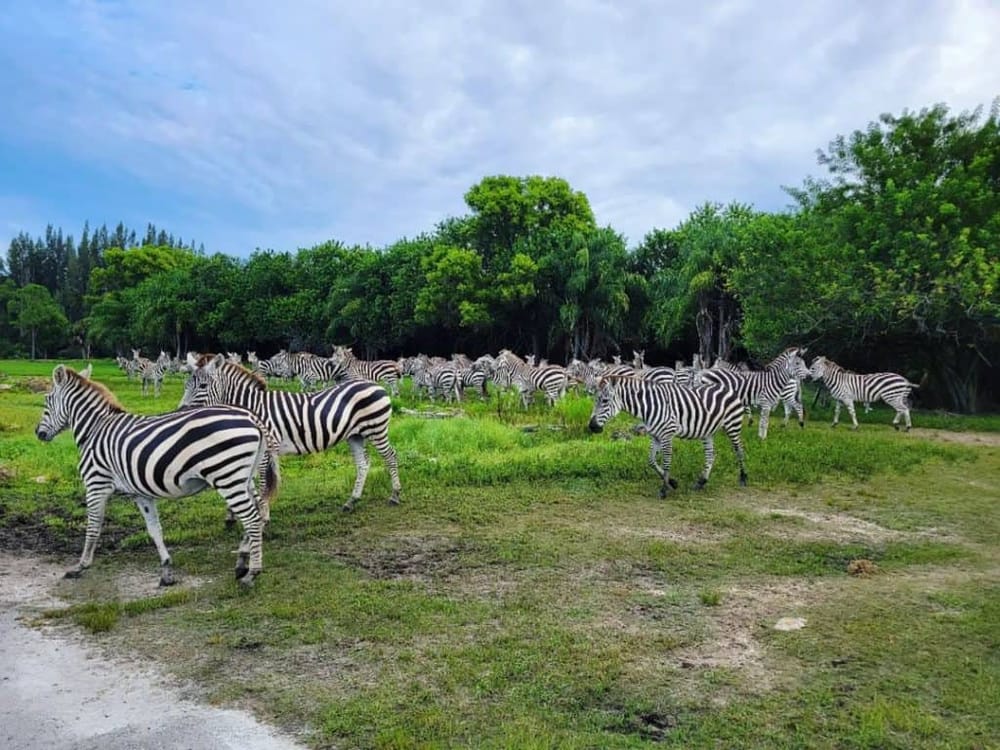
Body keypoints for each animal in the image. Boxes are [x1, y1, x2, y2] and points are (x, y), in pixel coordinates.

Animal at [35, 364, 279, 586]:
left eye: (47, 401)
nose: (38, 433)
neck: (95, 429)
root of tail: (252, 418)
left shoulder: (96, 483)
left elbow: (93, 525)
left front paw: (81, 565)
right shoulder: (140, 493)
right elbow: (154, 530)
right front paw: (166, 570)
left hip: (228, 477)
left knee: (252, 518)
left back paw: (252, 573)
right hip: (243, 477)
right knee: (258, 510)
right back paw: (242, 561)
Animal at [180, 352, 402, 512]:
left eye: (203, 385)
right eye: (186, 385)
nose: (181, 410)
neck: (253, 408)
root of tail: (374, 384)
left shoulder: (266, 451)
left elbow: (262, 482)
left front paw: (262, 513)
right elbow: (247, 483)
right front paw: (234, 516)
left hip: (376, 429)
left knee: (391, 456)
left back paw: (395, 495)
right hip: (355, 435)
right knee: (363, 464)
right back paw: (352, 501)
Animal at [588, 376, 748, 496]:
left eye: (605, 401)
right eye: (595, 400)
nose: (592, 427)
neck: (648, 406)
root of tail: (727, 388)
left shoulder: (667, 434)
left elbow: (666, 461)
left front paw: (664, 489)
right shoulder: (655, 436)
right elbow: (651, 461)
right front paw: (672, 482)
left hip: (732, 425)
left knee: (739, 450)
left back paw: (743, 478)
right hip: (708, 431)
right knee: (710, 455)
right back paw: (701, 482)